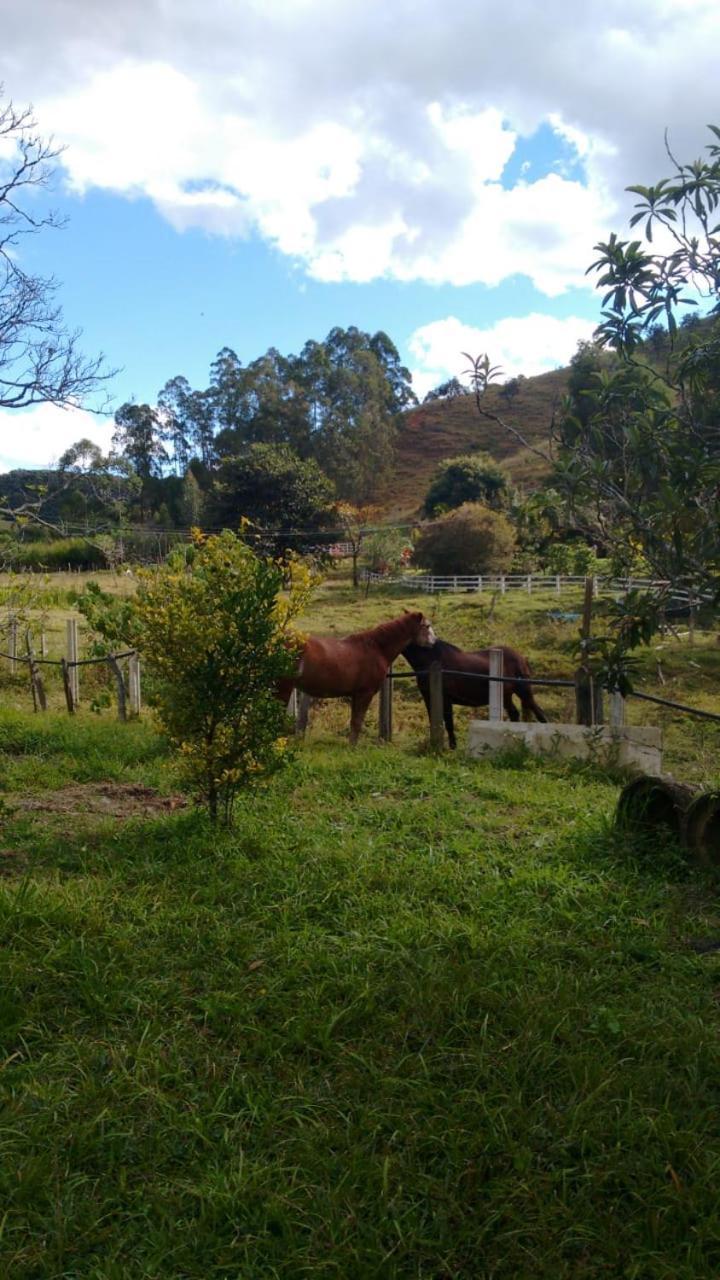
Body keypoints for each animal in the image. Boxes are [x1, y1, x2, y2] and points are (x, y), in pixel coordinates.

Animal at [275, 611, 430, 747]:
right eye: (427, 626)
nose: (433, 642)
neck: (376, 648)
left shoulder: (356, 694)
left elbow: (354, 721)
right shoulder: (365, 693)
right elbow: (357, 721)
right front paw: (353, 747)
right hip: (284, 686)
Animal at [399, 632, 545, 747]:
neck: (431, 659)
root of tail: (521, 657)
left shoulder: (445, 699)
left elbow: (449, 723)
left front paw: (453, 747)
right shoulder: (428, 698)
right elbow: (434, 722)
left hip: (524, 692)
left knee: (539, 712)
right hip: (506, 696)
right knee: (514, 714)